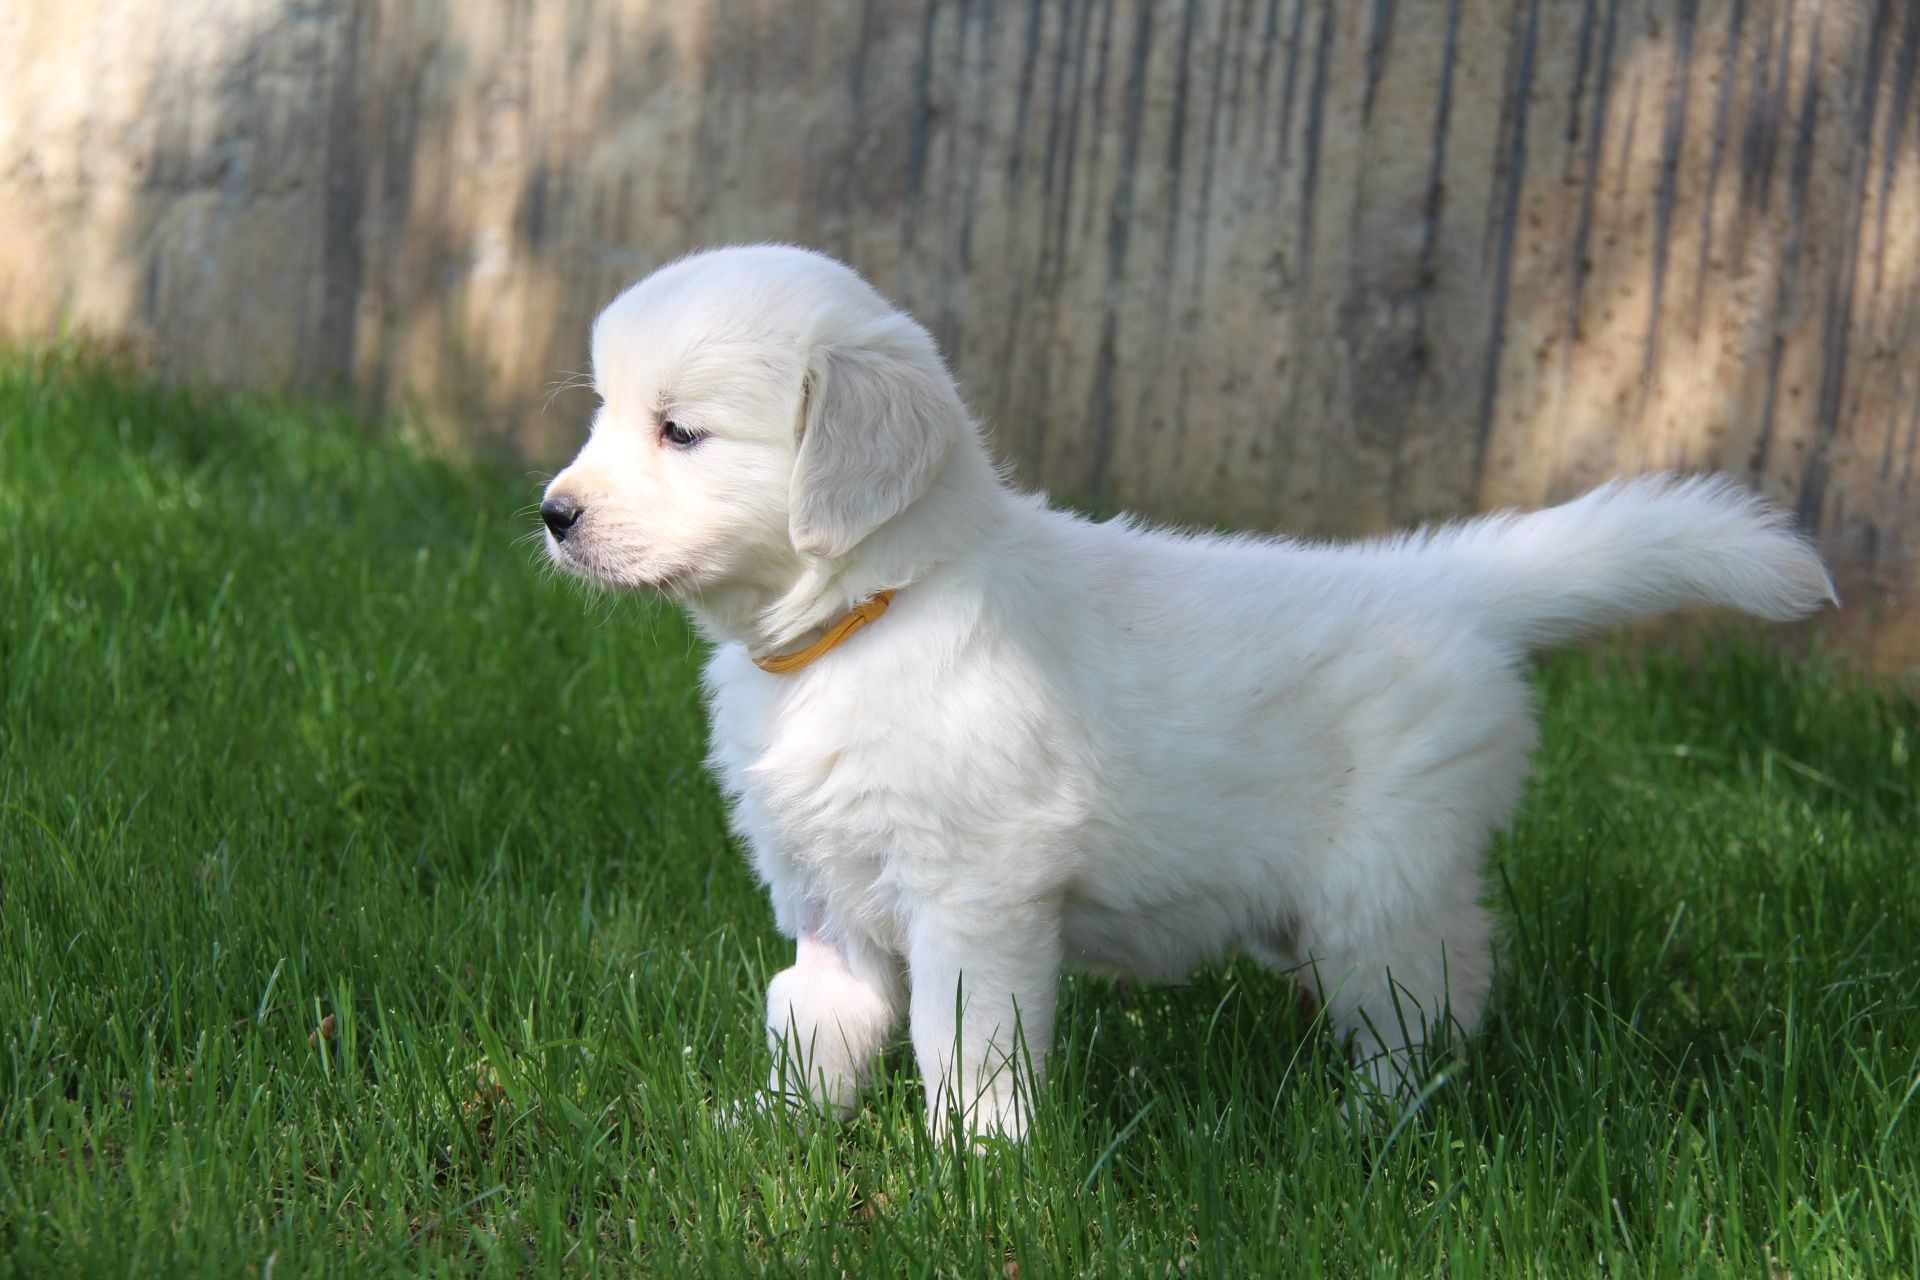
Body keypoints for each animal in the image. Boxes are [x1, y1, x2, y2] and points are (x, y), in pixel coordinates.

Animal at [537, 242, 1827, 1143]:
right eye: (603, 413)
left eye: (680, 432)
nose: (553, 513)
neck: (871, 612)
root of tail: (1447, 582)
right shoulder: (829, 892)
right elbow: (818, 1019)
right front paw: (775, 1126)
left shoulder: (977, 890)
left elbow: (967, 1040)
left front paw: (979, 1169)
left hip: (1377, 883)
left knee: (1425, 1003)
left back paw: (1369, 1125)